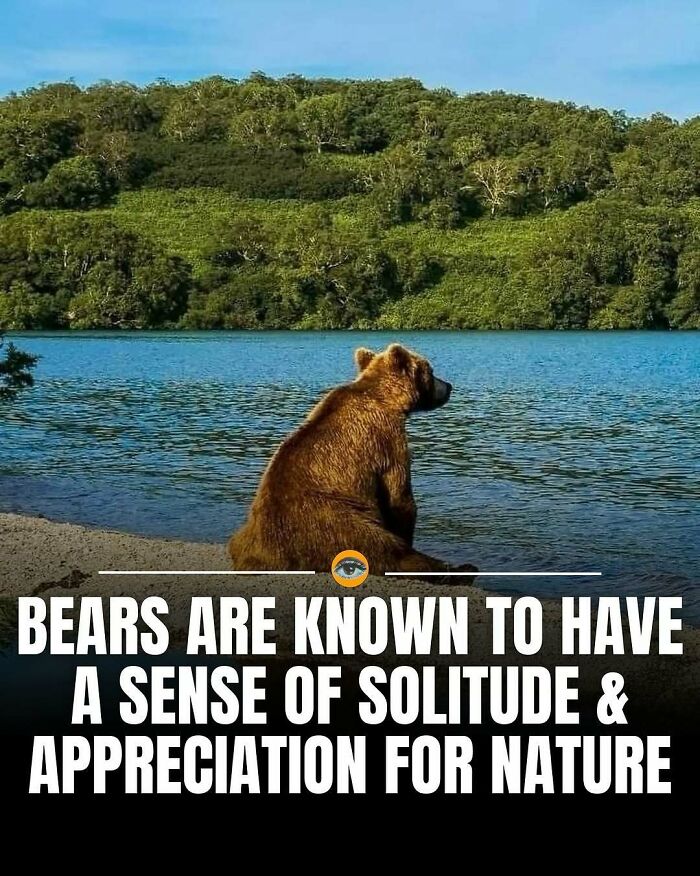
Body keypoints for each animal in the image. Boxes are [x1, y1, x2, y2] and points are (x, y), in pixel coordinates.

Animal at [228, 343, 477, 580]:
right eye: (431, 371)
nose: (448, 386)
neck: (386, 397)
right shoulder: (387, 440)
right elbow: (400, 496)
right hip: (334, 523)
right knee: (383, 549)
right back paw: (459, 569)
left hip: (248, 532)